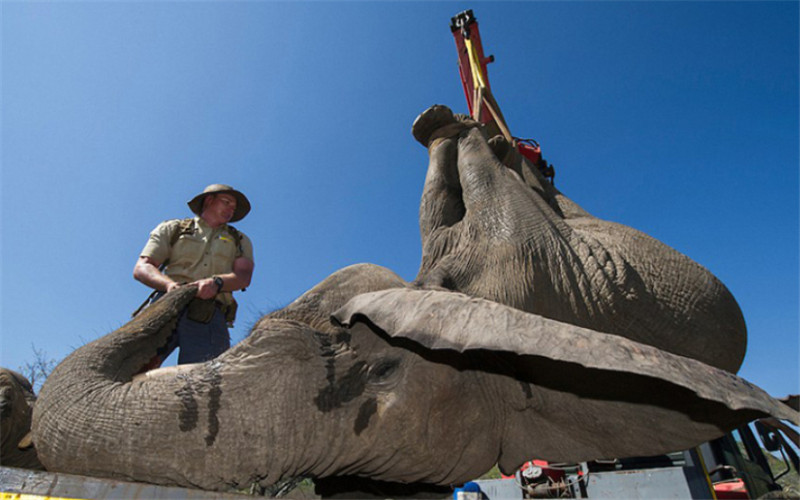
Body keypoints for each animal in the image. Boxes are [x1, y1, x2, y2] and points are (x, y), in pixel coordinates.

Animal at [29, 104, 792, 492]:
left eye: (377, 374)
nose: (191, 280)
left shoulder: (528, 273)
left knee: (505, 181)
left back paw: (474, 131)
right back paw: (455, 127)